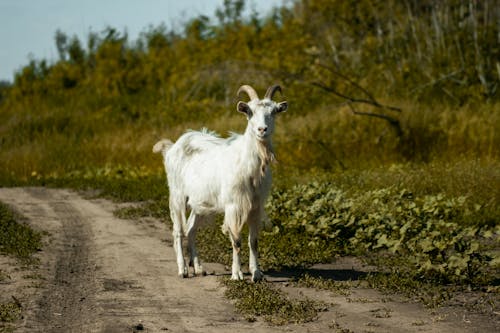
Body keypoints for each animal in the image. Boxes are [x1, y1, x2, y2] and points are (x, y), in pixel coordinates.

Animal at [152, 83, 288, 280]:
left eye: (274, 111)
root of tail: (172, 147)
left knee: (191, 229)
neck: (249, 165)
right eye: (250, 112)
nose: (262, 130)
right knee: (178, 231)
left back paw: (198, 268)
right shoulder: (233, 205)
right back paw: (183, 269)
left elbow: (253, 241)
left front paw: (256, 273)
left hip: (199, 202)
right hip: (177, 195)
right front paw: (237, 274)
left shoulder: (255, 206)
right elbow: (236, 241)